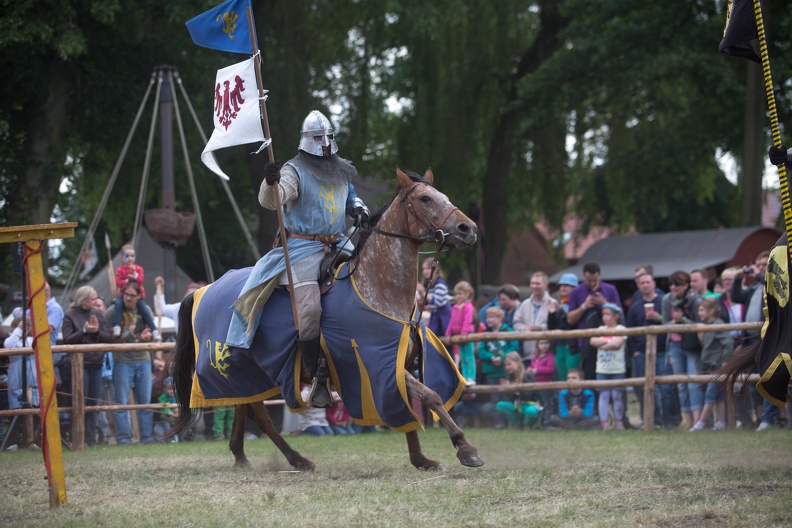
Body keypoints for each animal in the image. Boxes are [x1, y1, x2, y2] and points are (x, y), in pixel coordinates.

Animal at [169, 168, 482, 470]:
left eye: (442, 195)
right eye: (425, 199)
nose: (469, 229)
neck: (377, 288)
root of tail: (202, 289)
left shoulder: (394, 367)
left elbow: (406, 404)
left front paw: (421, 459)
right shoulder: (376, 364)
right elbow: (432, 396)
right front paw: (465, 448)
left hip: (251, 371)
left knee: (247, 407)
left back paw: (252, 456)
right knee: (256, 413)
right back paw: (291, 458)